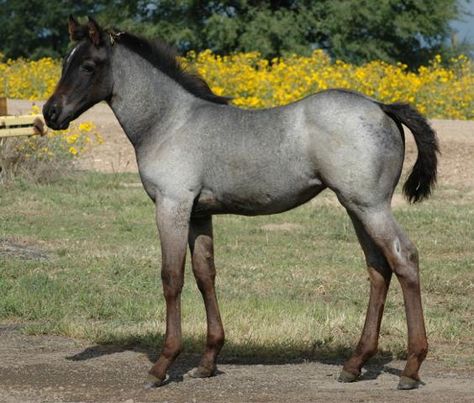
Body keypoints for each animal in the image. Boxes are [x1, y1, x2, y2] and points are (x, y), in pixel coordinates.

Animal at [42, 16, 438, 392]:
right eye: (65, 62)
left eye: (88, 65)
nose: (50, 113)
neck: (169, 123)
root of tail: (381, 106)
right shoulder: (199, 214)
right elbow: (205, 275)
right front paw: (207, 362)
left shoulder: (172, 205)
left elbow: (172, 277)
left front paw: (162, 365)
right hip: (356, 208)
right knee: (378, 268)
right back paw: (354, 365)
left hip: (371, 206)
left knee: (404, 258)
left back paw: (411, 368)